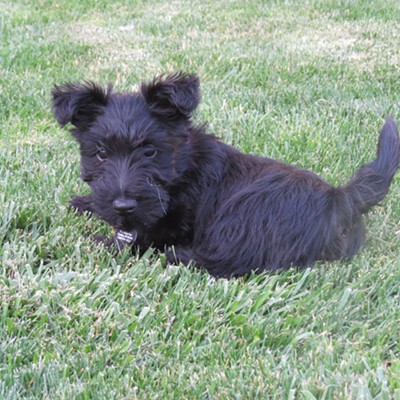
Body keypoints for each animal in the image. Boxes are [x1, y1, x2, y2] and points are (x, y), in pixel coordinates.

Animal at [51, 72, 398, 278]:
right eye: (101, 153)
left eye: (149, 151)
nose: (123, 205)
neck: (183, 168)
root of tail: (340, 198)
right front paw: (85, 203)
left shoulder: (173, 223)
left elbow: (142, 237)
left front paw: (105, 240)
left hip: (246, 213)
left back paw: (175, 256)